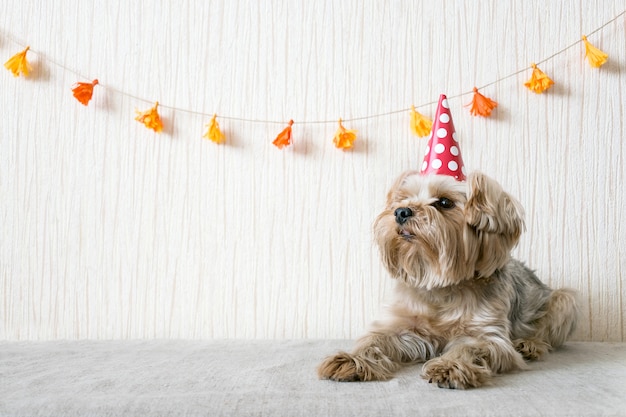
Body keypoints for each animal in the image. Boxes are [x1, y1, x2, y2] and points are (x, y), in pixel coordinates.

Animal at [320, 169, 576, 386]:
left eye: (444, 203)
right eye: (403, 199)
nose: (401, 212)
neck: (440, 284)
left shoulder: (488, 333)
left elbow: (471, 347)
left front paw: (451, 366)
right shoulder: (404, 325)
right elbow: (374, 339)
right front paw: (351, 360)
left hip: (564, 301)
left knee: (548, 327)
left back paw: (529, 345)